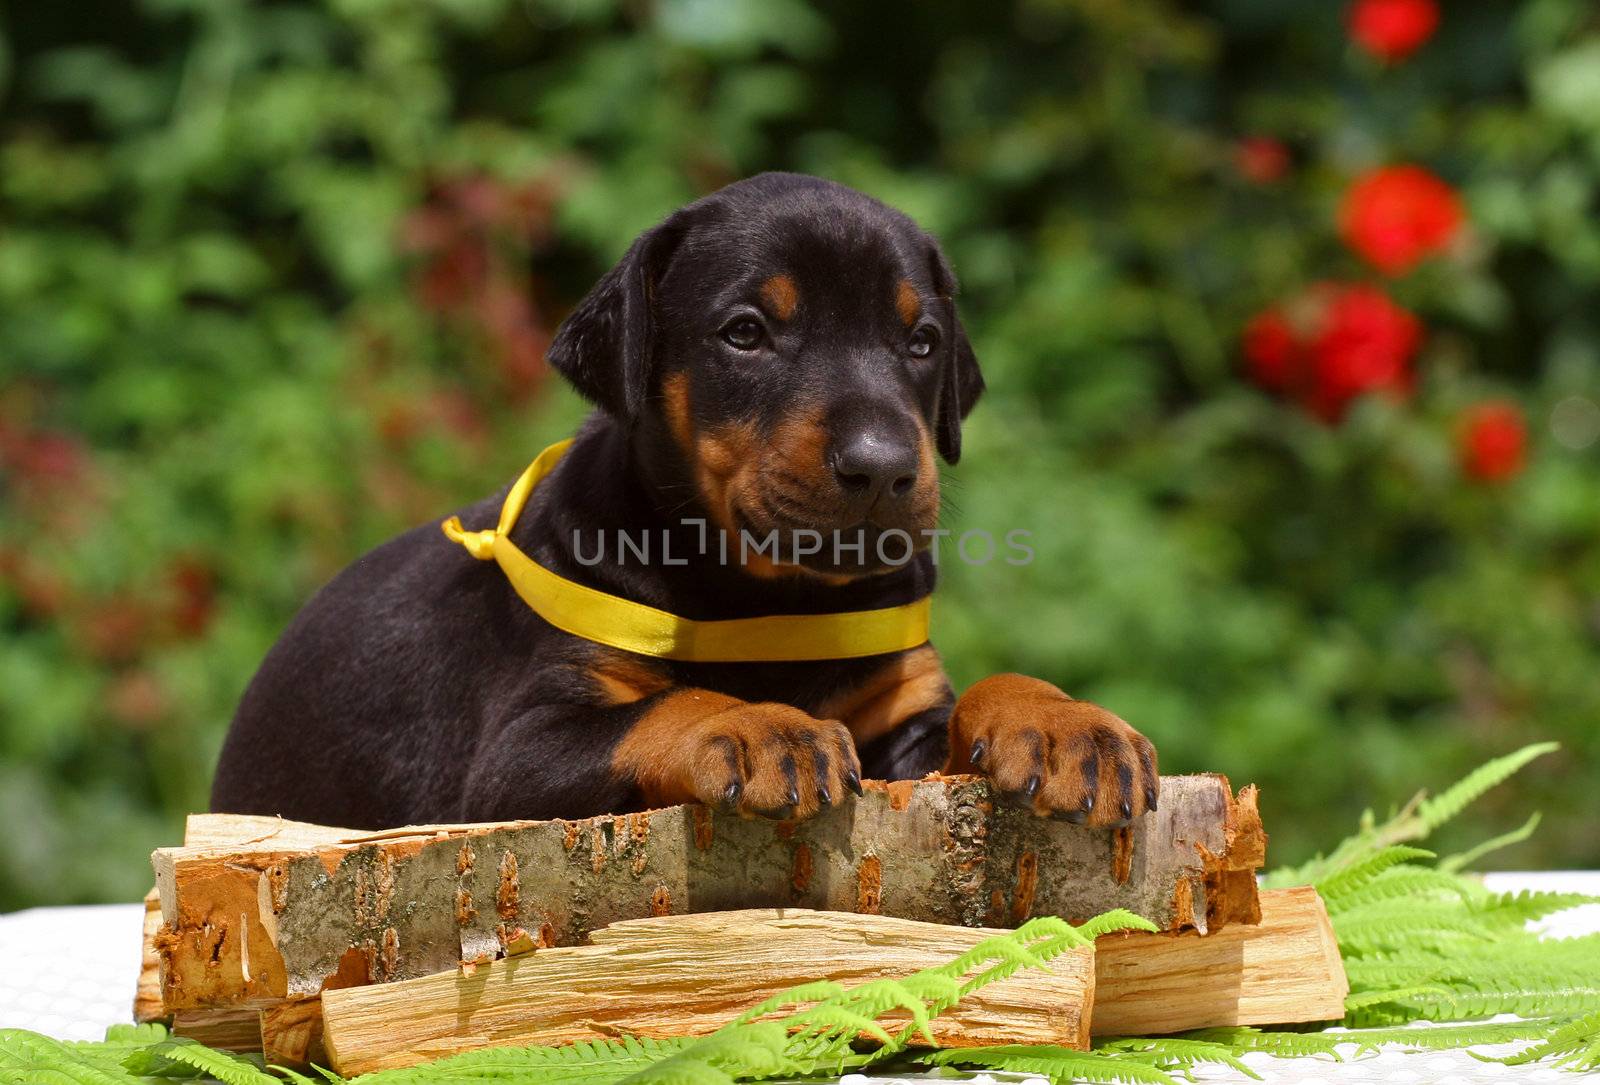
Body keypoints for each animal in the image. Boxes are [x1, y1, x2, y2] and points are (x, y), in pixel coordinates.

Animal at [212, 169, 1158, 832]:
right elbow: (671, 701)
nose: (885, 465)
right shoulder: (511, 760)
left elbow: (980, 693)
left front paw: (1065, 723)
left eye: (922, 340)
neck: (766, 600)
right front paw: (759, 727)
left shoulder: (902, 713)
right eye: (746, 332)